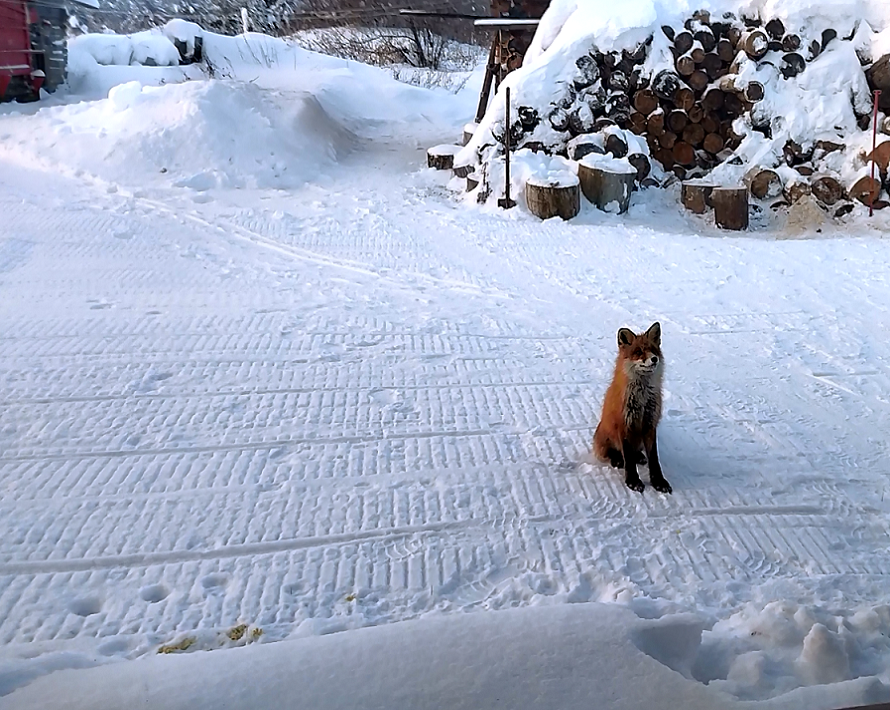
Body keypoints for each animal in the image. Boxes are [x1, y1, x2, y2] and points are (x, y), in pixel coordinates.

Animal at [592, 322, 668, 496]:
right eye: (638, 352)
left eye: (653, 350)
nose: (654, 359)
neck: (642, 398)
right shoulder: (624, 424)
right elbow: (628, 458)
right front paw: (633, 481)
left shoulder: (650, 423)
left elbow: (654, 459)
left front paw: (658, 482)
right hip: (606, 439)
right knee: (614, 453)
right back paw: (617, 459)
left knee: (636, 452)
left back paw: (639, 456)